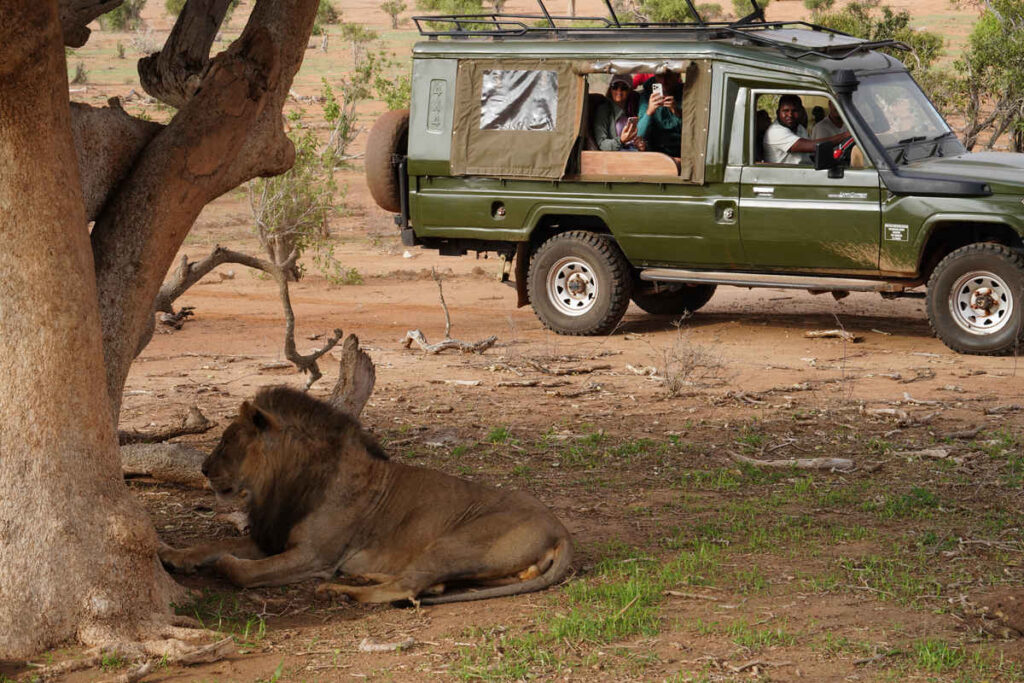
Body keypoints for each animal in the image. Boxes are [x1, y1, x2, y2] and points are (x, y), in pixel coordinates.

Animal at [158, 386, 573, 604]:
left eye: (227, 441)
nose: (203, 469)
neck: (282, 482)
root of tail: (560, 528)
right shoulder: (272, 540)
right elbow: (209, 546)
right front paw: (172, 555)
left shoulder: (313, 555)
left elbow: (236, 568)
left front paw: (218, 564)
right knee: (426, 583)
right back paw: (364, 576)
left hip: (453, 543)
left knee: (405, 588)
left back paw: (338, 589)